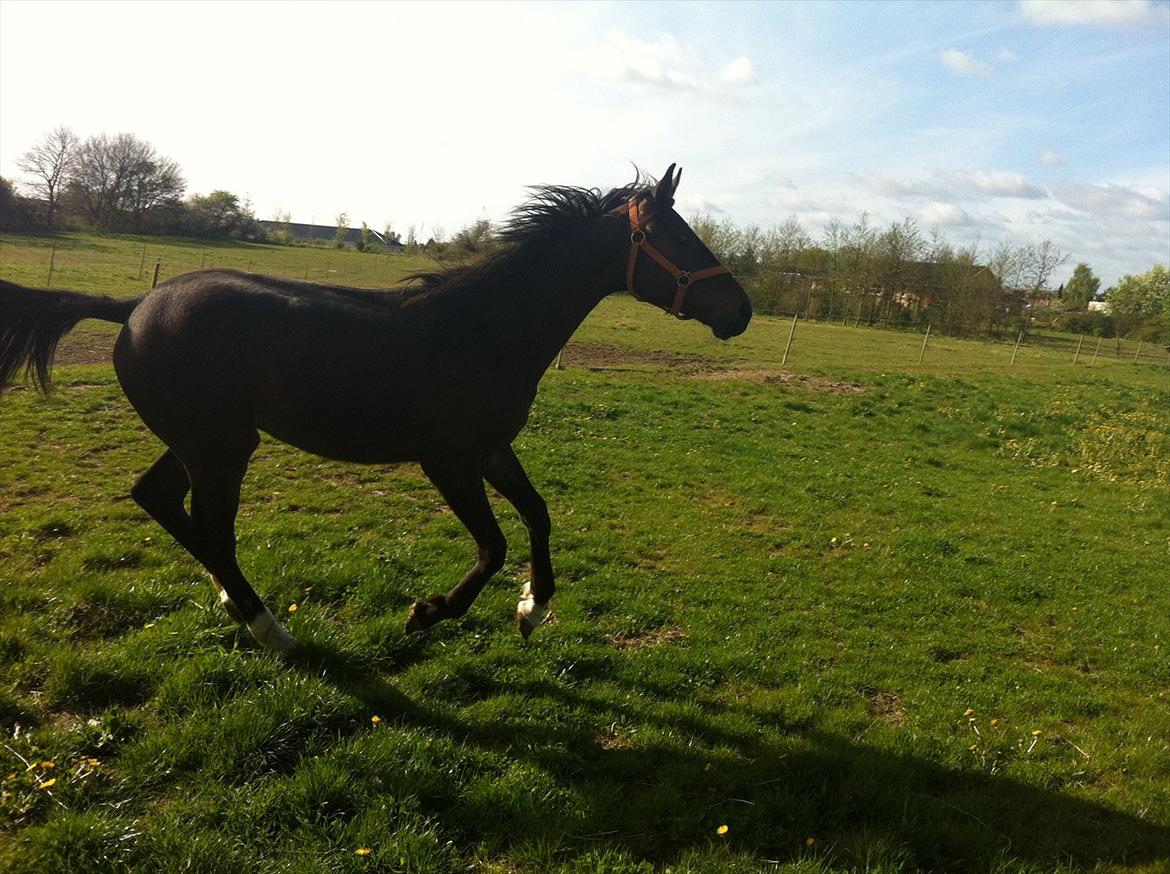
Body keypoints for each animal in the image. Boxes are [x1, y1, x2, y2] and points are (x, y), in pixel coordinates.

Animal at [0, 167, 748, 655]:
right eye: (680, 239)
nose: (740, 310)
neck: (486, 327)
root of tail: (132, 305)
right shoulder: (447, 461)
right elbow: (494, 543)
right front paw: (428, 613)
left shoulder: (490, 450)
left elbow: (537, 515)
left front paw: (532, 609)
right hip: (220, 448)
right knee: (212, 529)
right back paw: (270, 626)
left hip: (204, 441)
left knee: (158, 499)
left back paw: (234, 603)